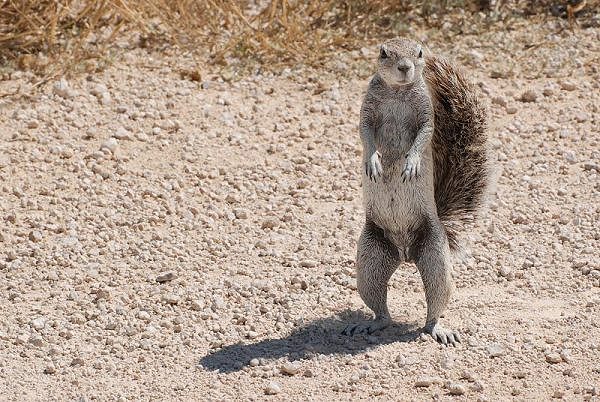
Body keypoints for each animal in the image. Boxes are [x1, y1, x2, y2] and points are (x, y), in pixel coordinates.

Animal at [342, 37, 488, 346]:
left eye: (419, 52)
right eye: (384, 52)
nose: (405, 67)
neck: (398, 92)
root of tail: (405, 253)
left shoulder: (426, 114)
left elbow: (423, 136)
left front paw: (411, 163)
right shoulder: (366, 110)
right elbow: (365, 132)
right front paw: (373, 160)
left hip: (435, 257)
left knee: (435, 302)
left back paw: (438, 329)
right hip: (370, 261)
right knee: (381, 309)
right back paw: (370, 324)